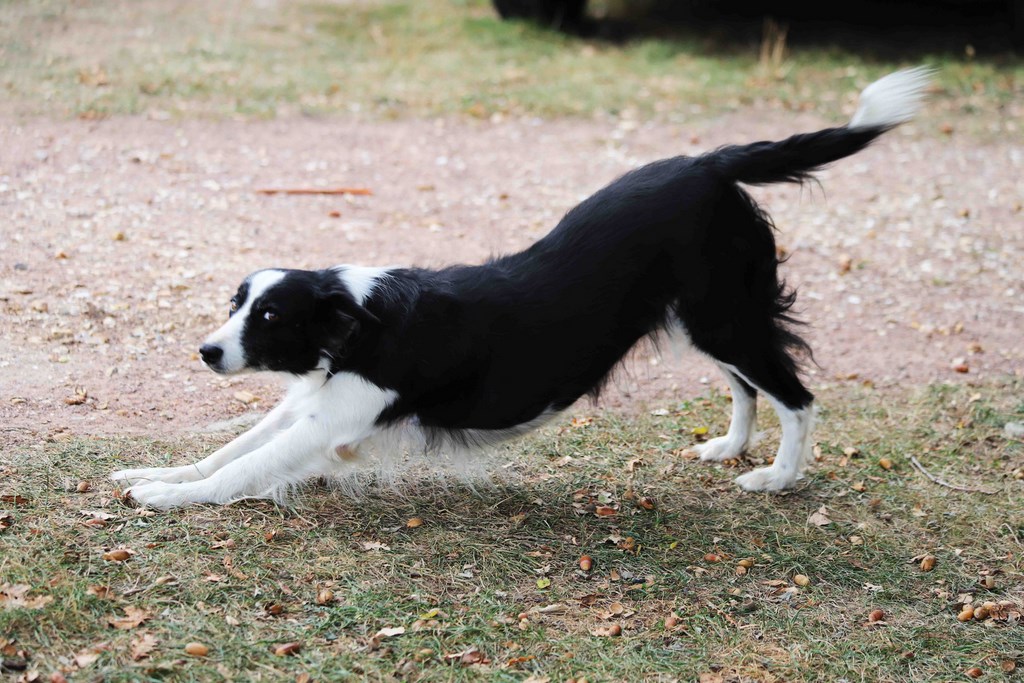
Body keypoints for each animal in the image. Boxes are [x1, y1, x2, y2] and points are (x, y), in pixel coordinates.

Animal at [110, 68, 929, 507]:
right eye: (236, 303)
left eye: (273, 315)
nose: (207, 351)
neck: (357, 323)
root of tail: (709, 162)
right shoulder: (307, 403)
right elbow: (227, 450)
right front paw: (157, 473)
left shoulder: (330, 420)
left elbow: (243, 467)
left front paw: (167, 498)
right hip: (705, 318)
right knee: (748, 387)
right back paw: (728, 447)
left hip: (724, 315)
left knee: (795, 394)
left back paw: (776, 478)